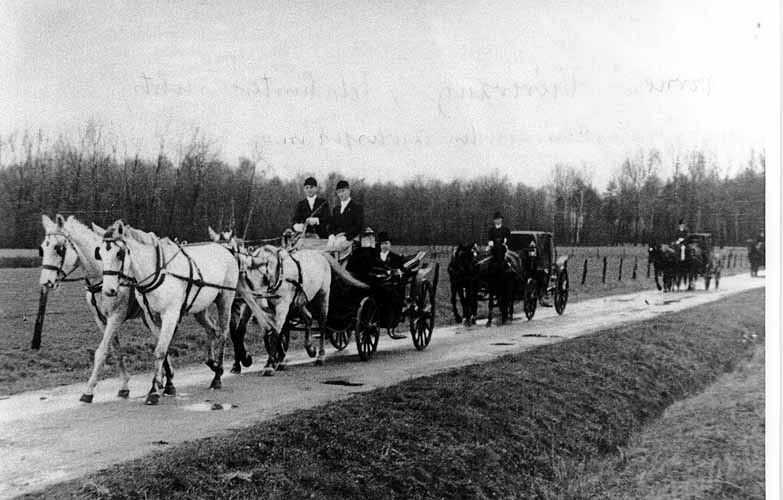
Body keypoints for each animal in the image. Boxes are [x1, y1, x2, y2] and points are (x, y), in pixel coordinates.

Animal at [38, 215, 175, 402]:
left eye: (58, 248)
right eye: (42, 248)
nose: (45, 282)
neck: (102, 276)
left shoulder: (115, 317)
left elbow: (101, 352)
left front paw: (88, 391)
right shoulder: (101, 320)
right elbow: (115, 351)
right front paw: (124, 386)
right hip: (149, 316)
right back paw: (166, 381)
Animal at [98, 221, 239, 404]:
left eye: (120, 253)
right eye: (100, 253)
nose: (108, 290)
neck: (159, 271)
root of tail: (224, 250)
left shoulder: (171, 315)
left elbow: (160, 351)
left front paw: (154, 391)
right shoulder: (152, 316)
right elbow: (163, 349)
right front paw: (166, 385)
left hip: (225, 299)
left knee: (222, 333)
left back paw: (217, 377)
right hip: (200, 309)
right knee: (211, 330)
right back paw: (213, 364)